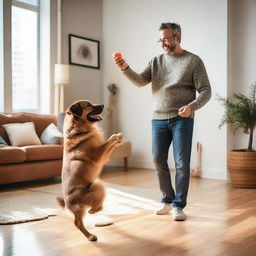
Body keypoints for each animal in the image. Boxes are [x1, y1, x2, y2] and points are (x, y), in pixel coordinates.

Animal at [56, 99, 122, 241]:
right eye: (88, 105)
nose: (103, 105)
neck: (80, 129)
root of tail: (67, 203)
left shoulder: (104, 157)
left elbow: (111, 146)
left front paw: (119, 139)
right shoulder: (98, 156)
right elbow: (109, 141)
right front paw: (116, 136)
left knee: (80, 220)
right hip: (98, 185)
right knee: (81, 219)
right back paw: (90, 234)